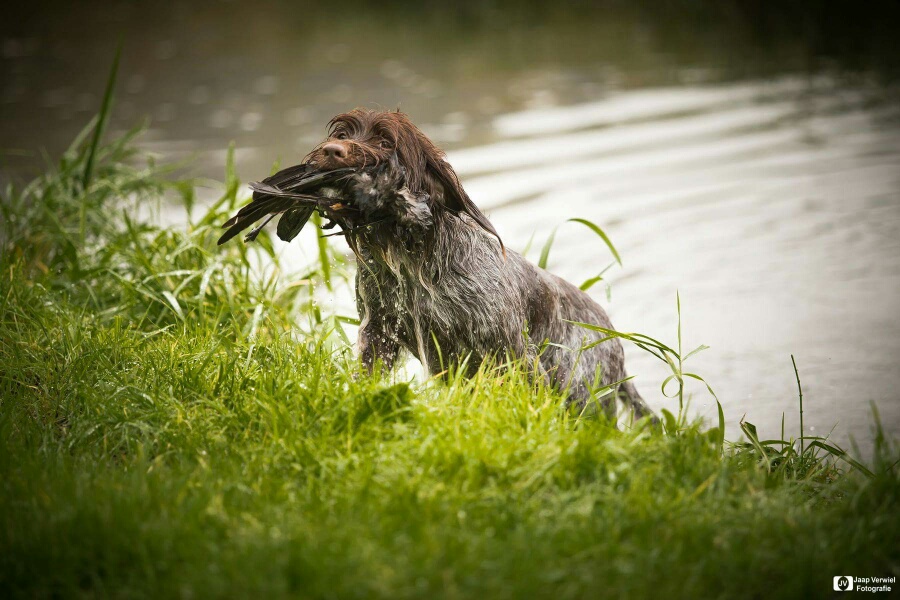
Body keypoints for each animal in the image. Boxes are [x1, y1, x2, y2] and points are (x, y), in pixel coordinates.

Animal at [306, 108, 652, 420]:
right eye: (341, 135)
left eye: (384, 141)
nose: (332, 150)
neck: (412, 261)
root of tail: (614, 338)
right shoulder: (378, 331)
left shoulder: (512, 349)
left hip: (582, 393)